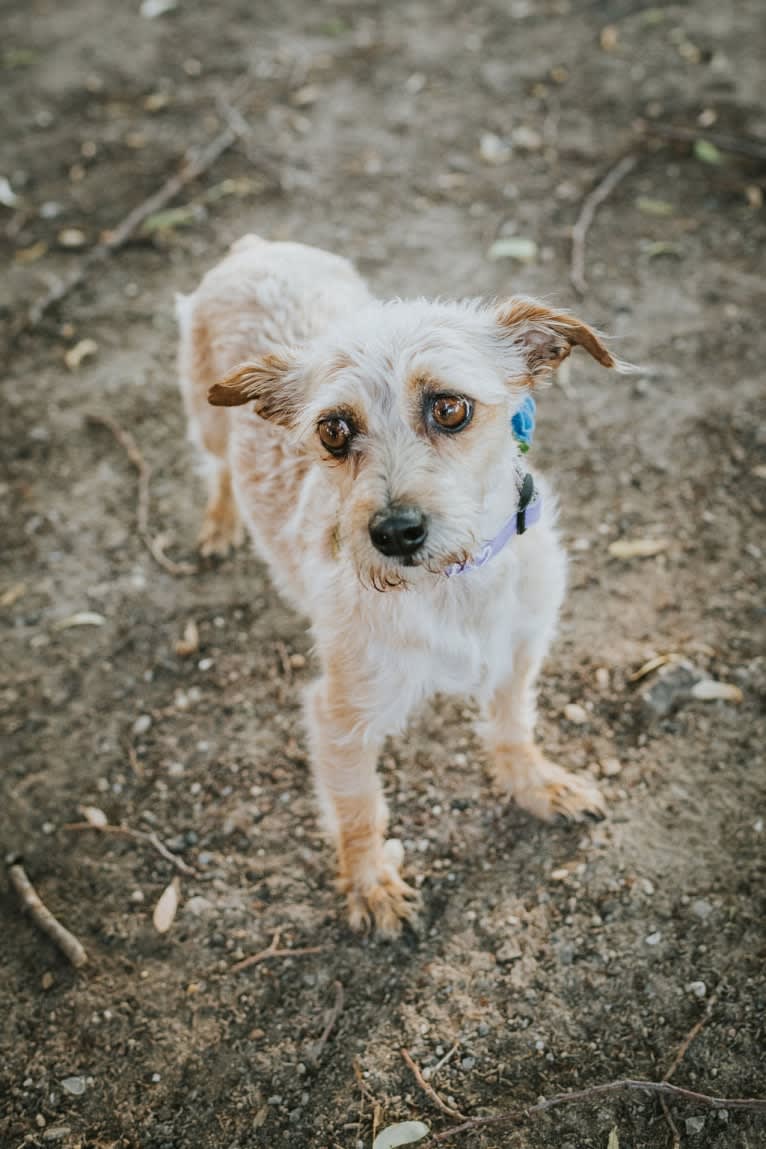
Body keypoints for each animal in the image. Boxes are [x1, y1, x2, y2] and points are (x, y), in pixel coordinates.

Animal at [176, 233, 624, 932]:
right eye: (333, 430)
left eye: (450, 407)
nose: (394, 532)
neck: (454, 584)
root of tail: (256, 248)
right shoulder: (339, 717)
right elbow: (358, 809)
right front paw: (370, 884)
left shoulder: (521, 650)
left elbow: (512, 724)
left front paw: (534, 782)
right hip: (207, 416)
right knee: (218, 468)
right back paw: (221, 523)